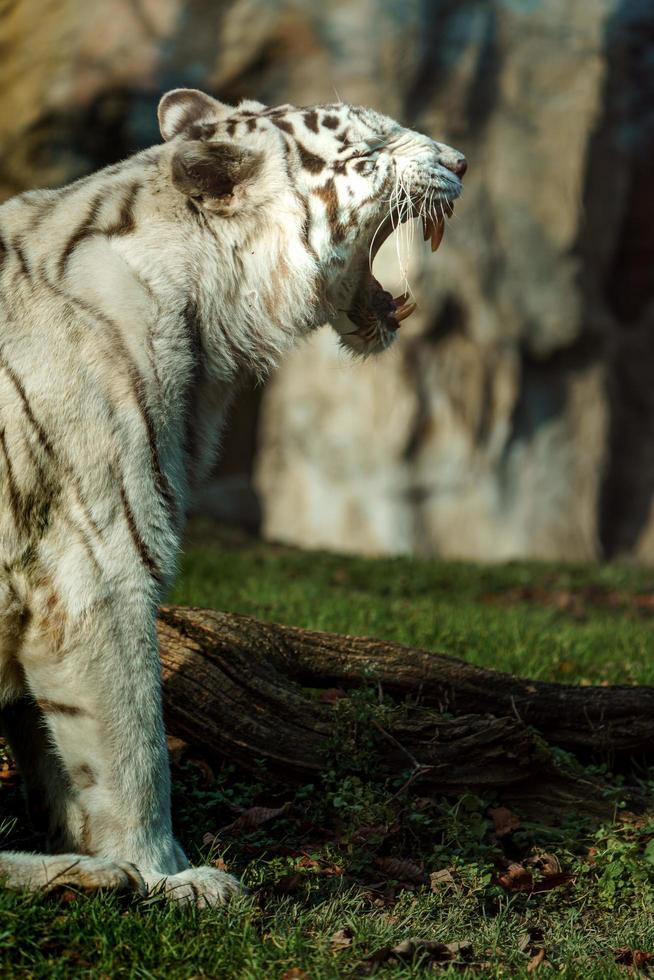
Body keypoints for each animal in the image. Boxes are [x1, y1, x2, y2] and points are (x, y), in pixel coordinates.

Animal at [0, 88, 466, 908]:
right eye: (371, 148)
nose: (464, 163)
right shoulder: (98, 570)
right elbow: (133, 751)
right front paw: (168, 873)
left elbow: (63, 756)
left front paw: (95, 847)